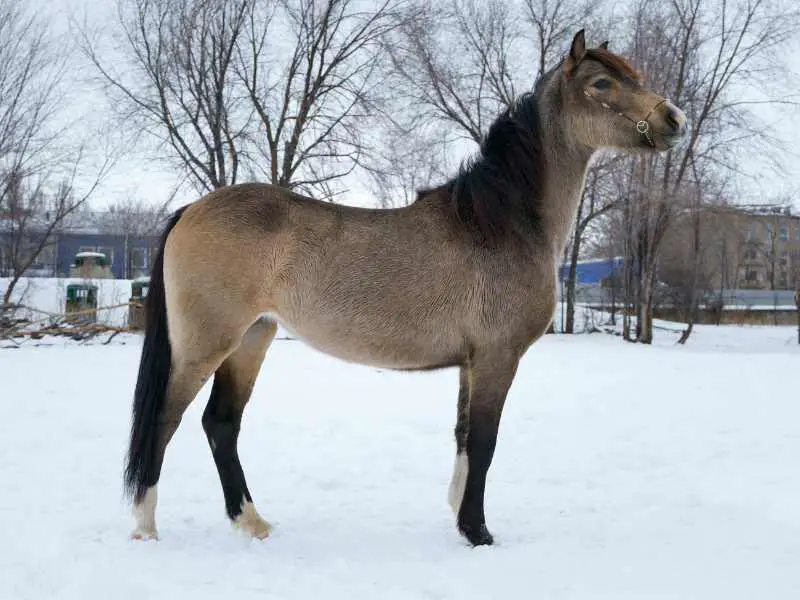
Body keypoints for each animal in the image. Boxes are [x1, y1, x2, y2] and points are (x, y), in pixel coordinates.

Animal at [125, 31, 688, 548]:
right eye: (602, 83)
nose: (674, 120)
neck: (500, 222)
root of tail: (191, 209)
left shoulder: (471, 362)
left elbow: (463, 438)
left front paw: (459, 516)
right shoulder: (498, 357)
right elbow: (484, 443)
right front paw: (479, 532)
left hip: (252, 338)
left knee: (220, 424)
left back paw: (252, 522)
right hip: (206, 344)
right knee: (165, 419)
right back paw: (146, 527)